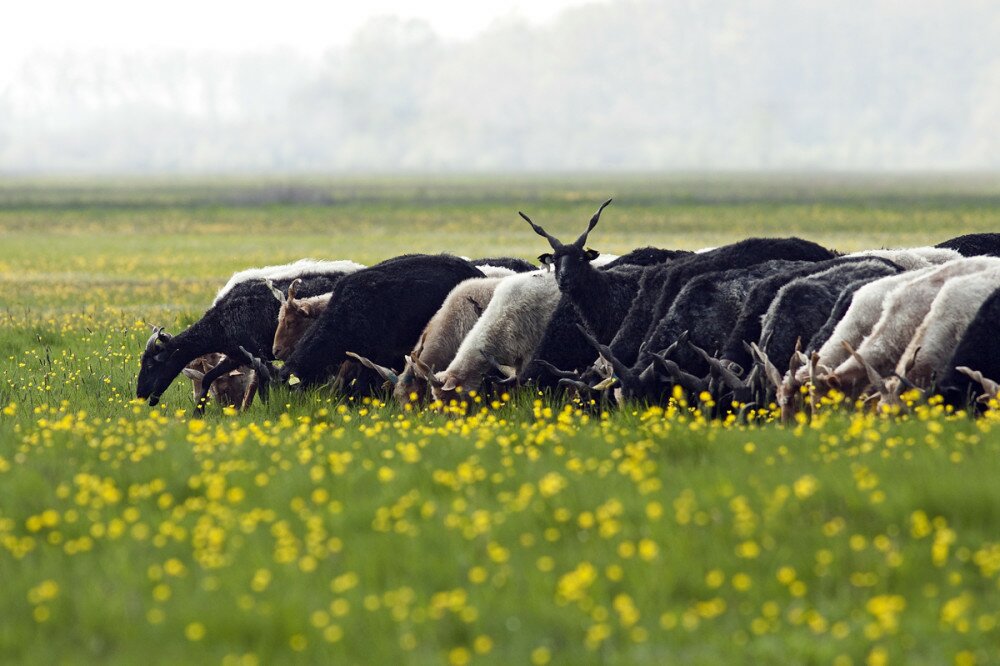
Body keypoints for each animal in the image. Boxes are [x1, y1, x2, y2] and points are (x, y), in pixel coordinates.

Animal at [137, 264, 348, 404]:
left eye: (150, 365)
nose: (140, 394)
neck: (221, 323)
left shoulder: (258, 357)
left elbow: (264, 388)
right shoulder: (236, 356)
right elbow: (208, 378)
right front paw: (198, 413)